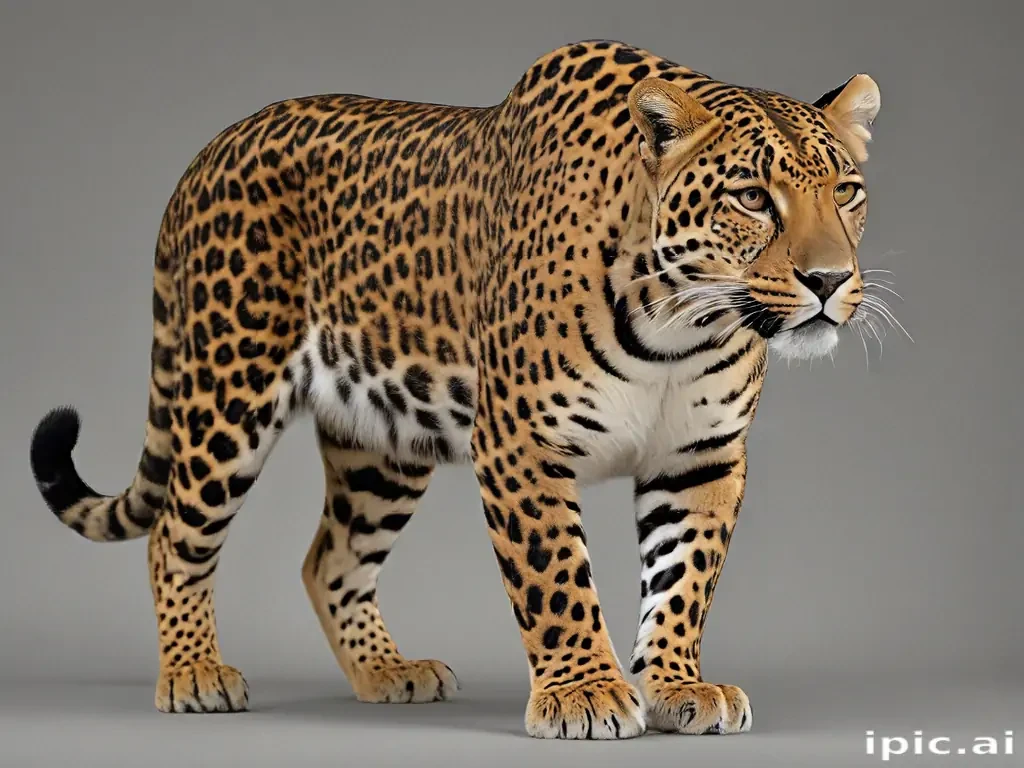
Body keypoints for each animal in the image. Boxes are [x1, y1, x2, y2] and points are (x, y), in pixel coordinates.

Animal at [29, 39, 880, 739]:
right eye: (751, 197)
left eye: (846, 191)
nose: (829, 280)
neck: (681, 324)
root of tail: (209, 151)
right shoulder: (522, 442)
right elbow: (555, 573)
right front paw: (585, 693)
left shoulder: (702, 456)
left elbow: (684, 578)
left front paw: (676, 685)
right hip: (228, 393)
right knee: (176, 534)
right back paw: (194, 673)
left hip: (381, 442)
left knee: (329, 560)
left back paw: (386, 671)